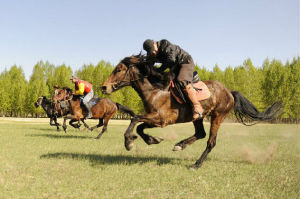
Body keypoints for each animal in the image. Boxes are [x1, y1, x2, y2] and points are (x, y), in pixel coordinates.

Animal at [101, 54, 282, 169]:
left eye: (118, 70)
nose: (104, 87)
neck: (155, 90)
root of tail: (230, 92)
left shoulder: (161, 119)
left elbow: (135, 119)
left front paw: (129, 142)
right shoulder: (157, 120)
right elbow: (139, 125)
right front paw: (152, 140)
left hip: (218, 116)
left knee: (210, 142)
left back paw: (196, 164)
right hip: (198, 117)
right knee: (201, 133)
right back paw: (180, 145)